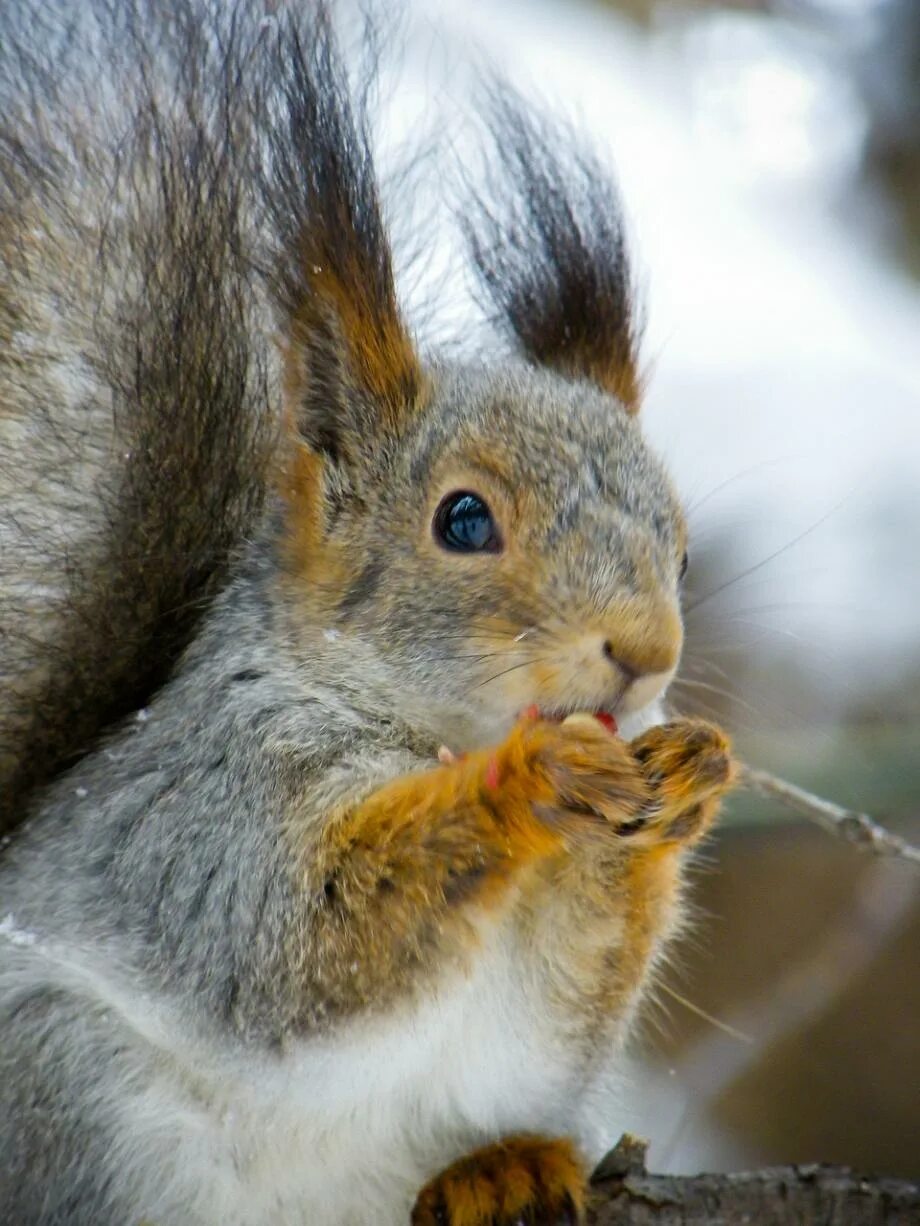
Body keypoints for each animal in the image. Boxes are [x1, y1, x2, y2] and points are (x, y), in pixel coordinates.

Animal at [0, 2, 736, 1226]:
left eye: (680, 543)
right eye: (465, 520)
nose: (647, 652)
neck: (425, 728)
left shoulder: (549, 997)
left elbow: (579, 982)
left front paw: (688, 773)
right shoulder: (207, 813)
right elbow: (299, 942)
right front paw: (527, 781)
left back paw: (501, 1167)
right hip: (67, 1087)